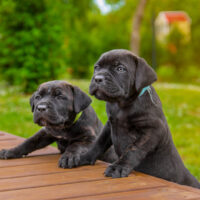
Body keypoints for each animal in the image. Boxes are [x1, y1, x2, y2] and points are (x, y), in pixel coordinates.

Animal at [69, 49, 200, 188]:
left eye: (120, 68)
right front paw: (85, 157)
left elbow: (133, 149)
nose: (98, 78)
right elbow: (99, 142)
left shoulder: (152, 130)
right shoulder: (110, 125)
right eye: (97, 67)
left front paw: (118, 167)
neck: (121, 104)